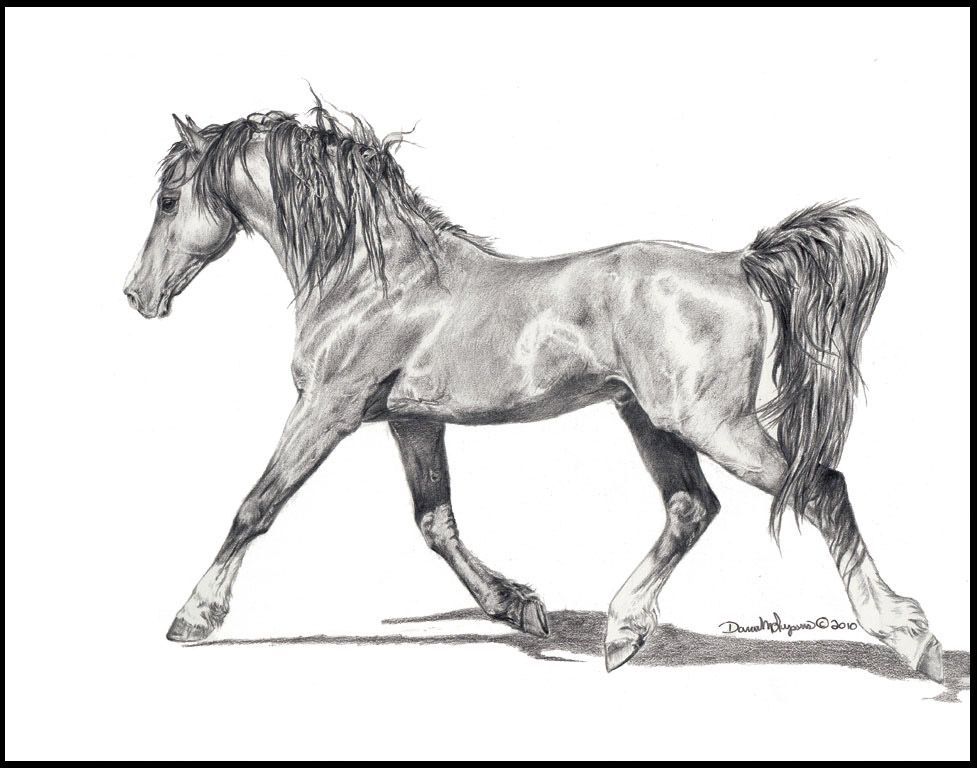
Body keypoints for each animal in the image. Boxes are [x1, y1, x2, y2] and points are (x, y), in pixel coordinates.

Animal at [124, 98, 943, 682]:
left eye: (167, 198)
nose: (137, 295)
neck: (371, 274)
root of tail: (739, 262)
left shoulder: (327, 408)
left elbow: (256, 507)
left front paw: (193, 617)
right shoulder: (411, 423)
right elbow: (436, 523)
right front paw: (517, 606)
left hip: (710, 421)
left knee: (820, 487)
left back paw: (910, 638)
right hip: (649, 419)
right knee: (692, 508)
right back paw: (623, 631)